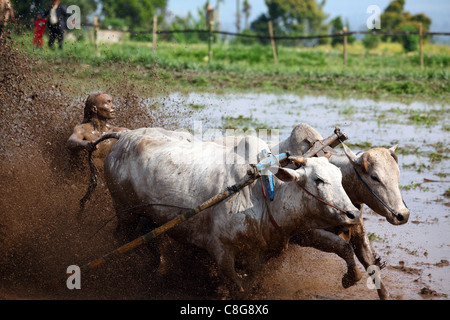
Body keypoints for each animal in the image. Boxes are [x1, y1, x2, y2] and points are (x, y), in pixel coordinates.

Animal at [103, 127, 360, 296]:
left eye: (339, 177)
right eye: (319, 180)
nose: (354, 214)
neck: (261, 194)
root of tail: (123, 136)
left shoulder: (259, 255)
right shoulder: (221, 251)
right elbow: (237, 289)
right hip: (123, 210)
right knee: (119, 238)